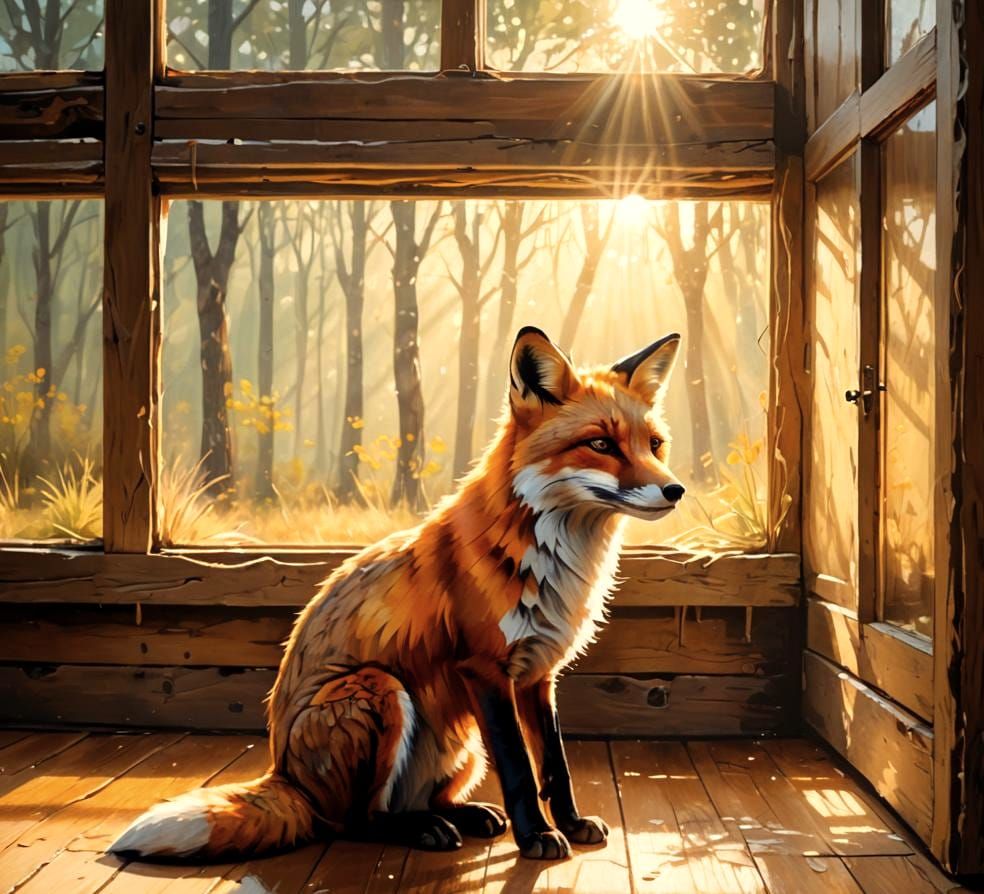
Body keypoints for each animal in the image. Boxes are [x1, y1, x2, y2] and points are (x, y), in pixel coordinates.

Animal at [109, 326, 685, 863]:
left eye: (654, 444)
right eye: (601, 444)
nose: (675, 490)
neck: (553, 560)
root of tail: (286, 777)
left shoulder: (537, 675)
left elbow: (554, 764)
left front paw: (569, 822)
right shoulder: (485, 669)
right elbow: (521, 769)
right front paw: (538, 837)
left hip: (462, 743)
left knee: (417, 801)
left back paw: (462, 814)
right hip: (377, 688)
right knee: (355, 820)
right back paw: (422, 830)